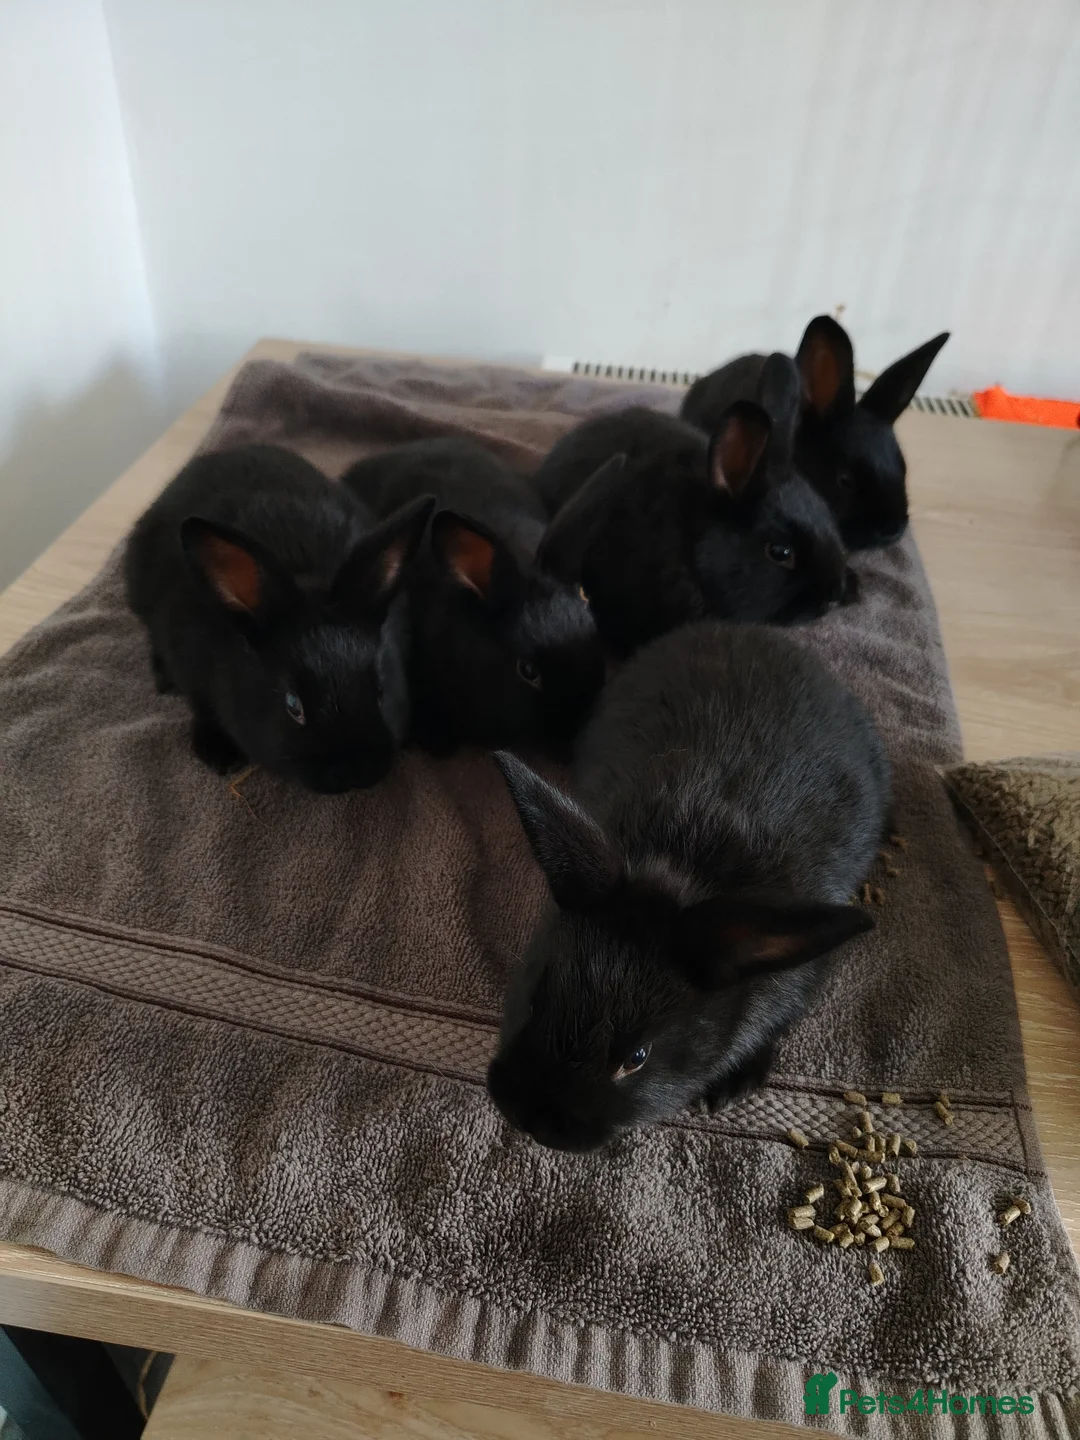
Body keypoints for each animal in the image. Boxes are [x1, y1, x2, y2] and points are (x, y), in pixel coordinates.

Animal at [487, 619, 891, 1152]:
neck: (682, 866)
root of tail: (748, 630)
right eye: (536, 995)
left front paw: (732, 1089)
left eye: (637, 1058)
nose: (528, 1117)